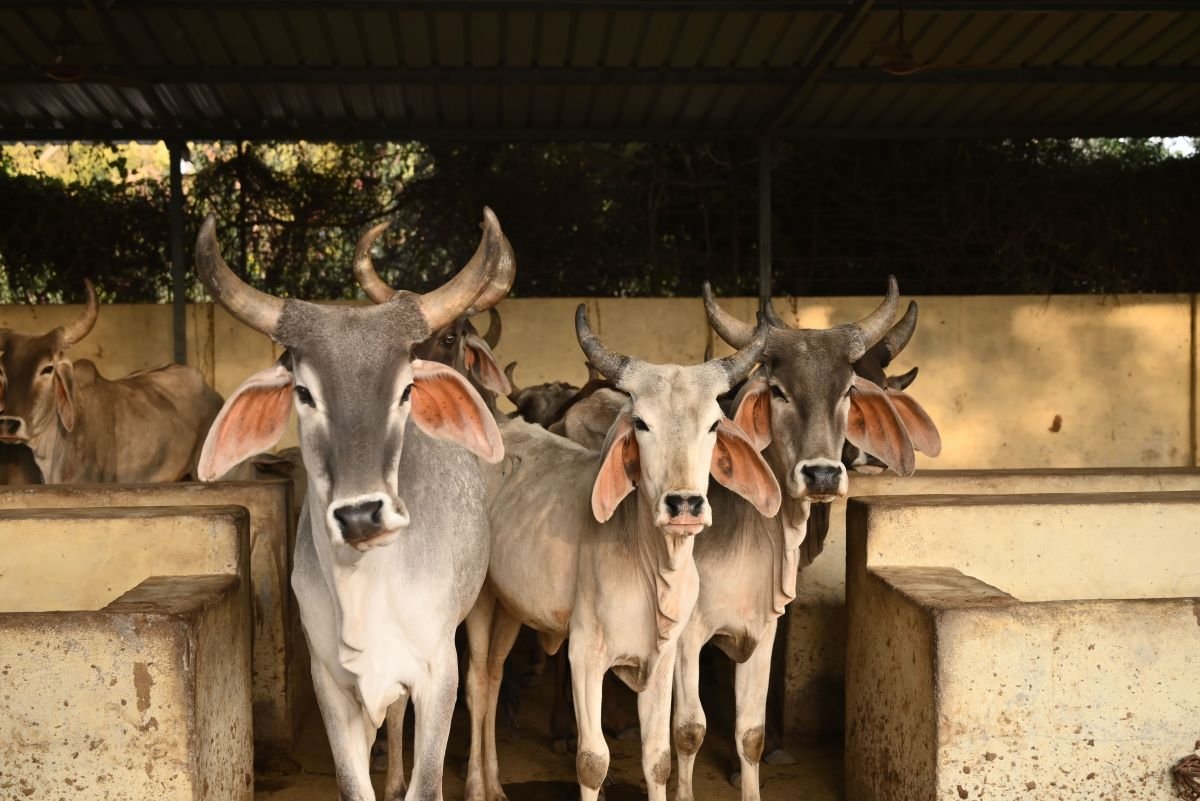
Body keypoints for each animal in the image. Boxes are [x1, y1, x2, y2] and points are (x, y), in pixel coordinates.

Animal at [195, 209, 512, 801]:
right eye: (304, 393)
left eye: (407, 390)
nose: (361, 514)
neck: (365, 586)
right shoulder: (332, 684)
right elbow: (354, 781)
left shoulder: (438, 672)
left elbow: (428, 782)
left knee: (484, 680)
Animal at [463, 306, 781, 801]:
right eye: (642, 423)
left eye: (713, 424)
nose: (684, 505)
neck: (651, 567)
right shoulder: (584, 657)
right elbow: (592, 762)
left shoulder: (665, 658)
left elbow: (659, 759)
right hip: (480, 601)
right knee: (477, 681)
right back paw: (477, 786)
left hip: (511, 605)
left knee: (496, 676)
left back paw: (496, 784)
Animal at [668, 280, 917, 801]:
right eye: (779, 391)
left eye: (849, 390)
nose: (823, 474)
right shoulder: (688, 632)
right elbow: (689, 728)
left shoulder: (771, 615)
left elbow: (753, 720)